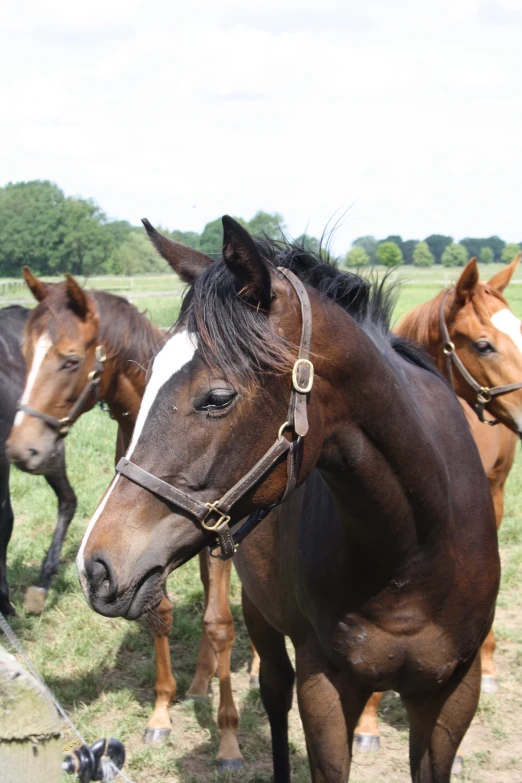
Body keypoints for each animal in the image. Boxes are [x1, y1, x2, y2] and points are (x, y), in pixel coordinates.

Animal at [4, 274, 248, 764]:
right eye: (24, 355)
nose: (22, 449)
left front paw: (228, 738)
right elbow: (160, 614)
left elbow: (219, 624)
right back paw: (199, 681)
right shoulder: (141, 554)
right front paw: (161, 713)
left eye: (70, 360)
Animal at [77, 219, 496, 783]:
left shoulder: (451, 694)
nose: (95, 568)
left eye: (217, 397)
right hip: (262, 615)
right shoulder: (324, 687)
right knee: (273, 691)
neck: (412, 553)